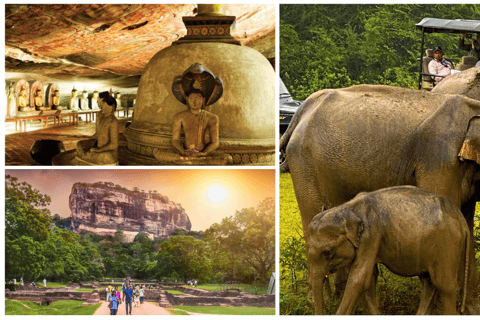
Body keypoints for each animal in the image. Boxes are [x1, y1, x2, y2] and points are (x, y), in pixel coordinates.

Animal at [308, 186, 468, 314]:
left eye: (327, 251)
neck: (346, 208)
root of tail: (460, 217)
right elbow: (369, 278)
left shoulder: (371, 234)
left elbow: (359, 279)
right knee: (429, 282)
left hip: (448, 244)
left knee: (444, 285)